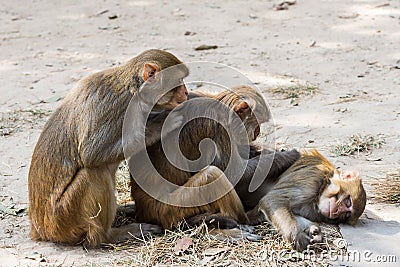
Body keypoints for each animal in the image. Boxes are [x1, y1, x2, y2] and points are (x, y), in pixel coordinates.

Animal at [29, 48, 189, 249]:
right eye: (179, 81)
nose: (186, 92)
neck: (134, 91)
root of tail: (40, 229)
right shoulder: (114, 106)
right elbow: (91, 154)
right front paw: (160, 124)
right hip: (64, 219)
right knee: (93, 172)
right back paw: (109, 236)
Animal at [129, 85, 300, 233]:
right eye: (257, 123)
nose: (257, 132)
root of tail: (143, 211)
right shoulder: (218, 128)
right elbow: (231, 172)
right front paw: (286, 156)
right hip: (172, 209)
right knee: (212, 174)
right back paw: (246, 219)